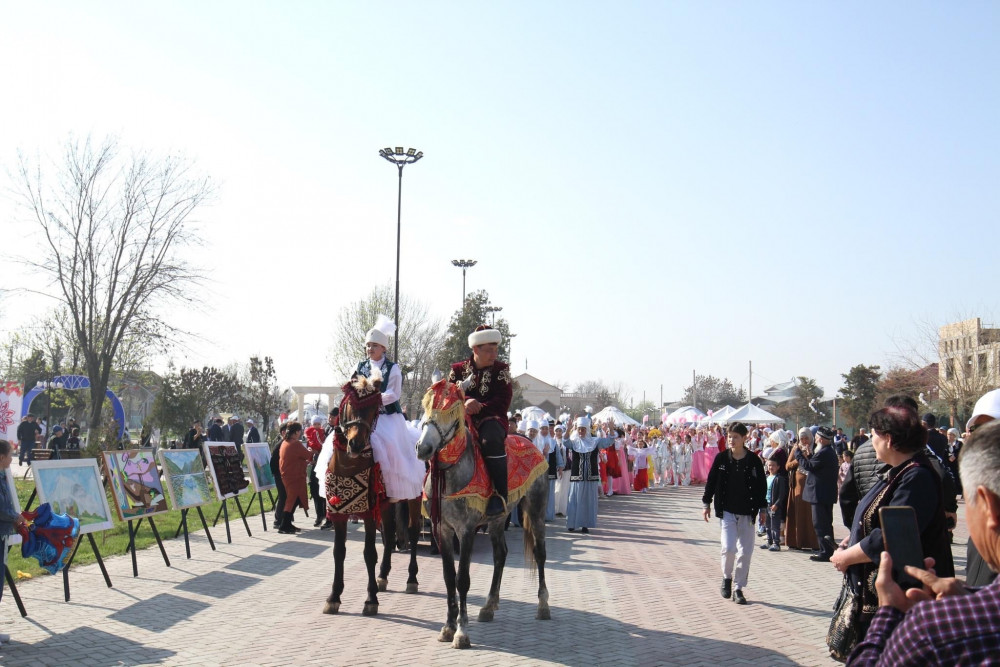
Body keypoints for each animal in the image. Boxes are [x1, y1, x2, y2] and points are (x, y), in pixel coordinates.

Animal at [416, 378, 552, 648]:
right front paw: (448, 627)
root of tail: (531, 442)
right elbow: (449, 577)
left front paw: (461, 632)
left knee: (540, 554)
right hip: (498, 519)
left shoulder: (466, 530)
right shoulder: (442, 529)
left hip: (535, 509)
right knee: (501, 555)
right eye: (425, 407)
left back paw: (543, 605)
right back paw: (489, 606)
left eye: (451, 411)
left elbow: (462, 579)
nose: (423, 448)